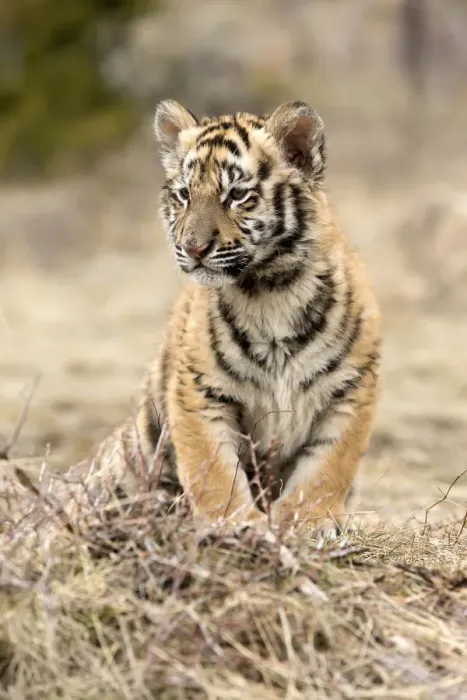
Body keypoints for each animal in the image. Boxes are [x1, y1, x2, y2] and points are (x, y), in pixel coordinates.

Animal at [87, 99, 382, 537]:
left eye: (237, 195)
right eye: (184, 194)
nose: (192, 248)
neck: (270, 288)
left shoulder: (351, 390)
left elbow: (327, 468)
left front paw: (307, 522)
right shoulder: (199, 392)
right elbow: (213, 471)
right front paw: (234, 524)